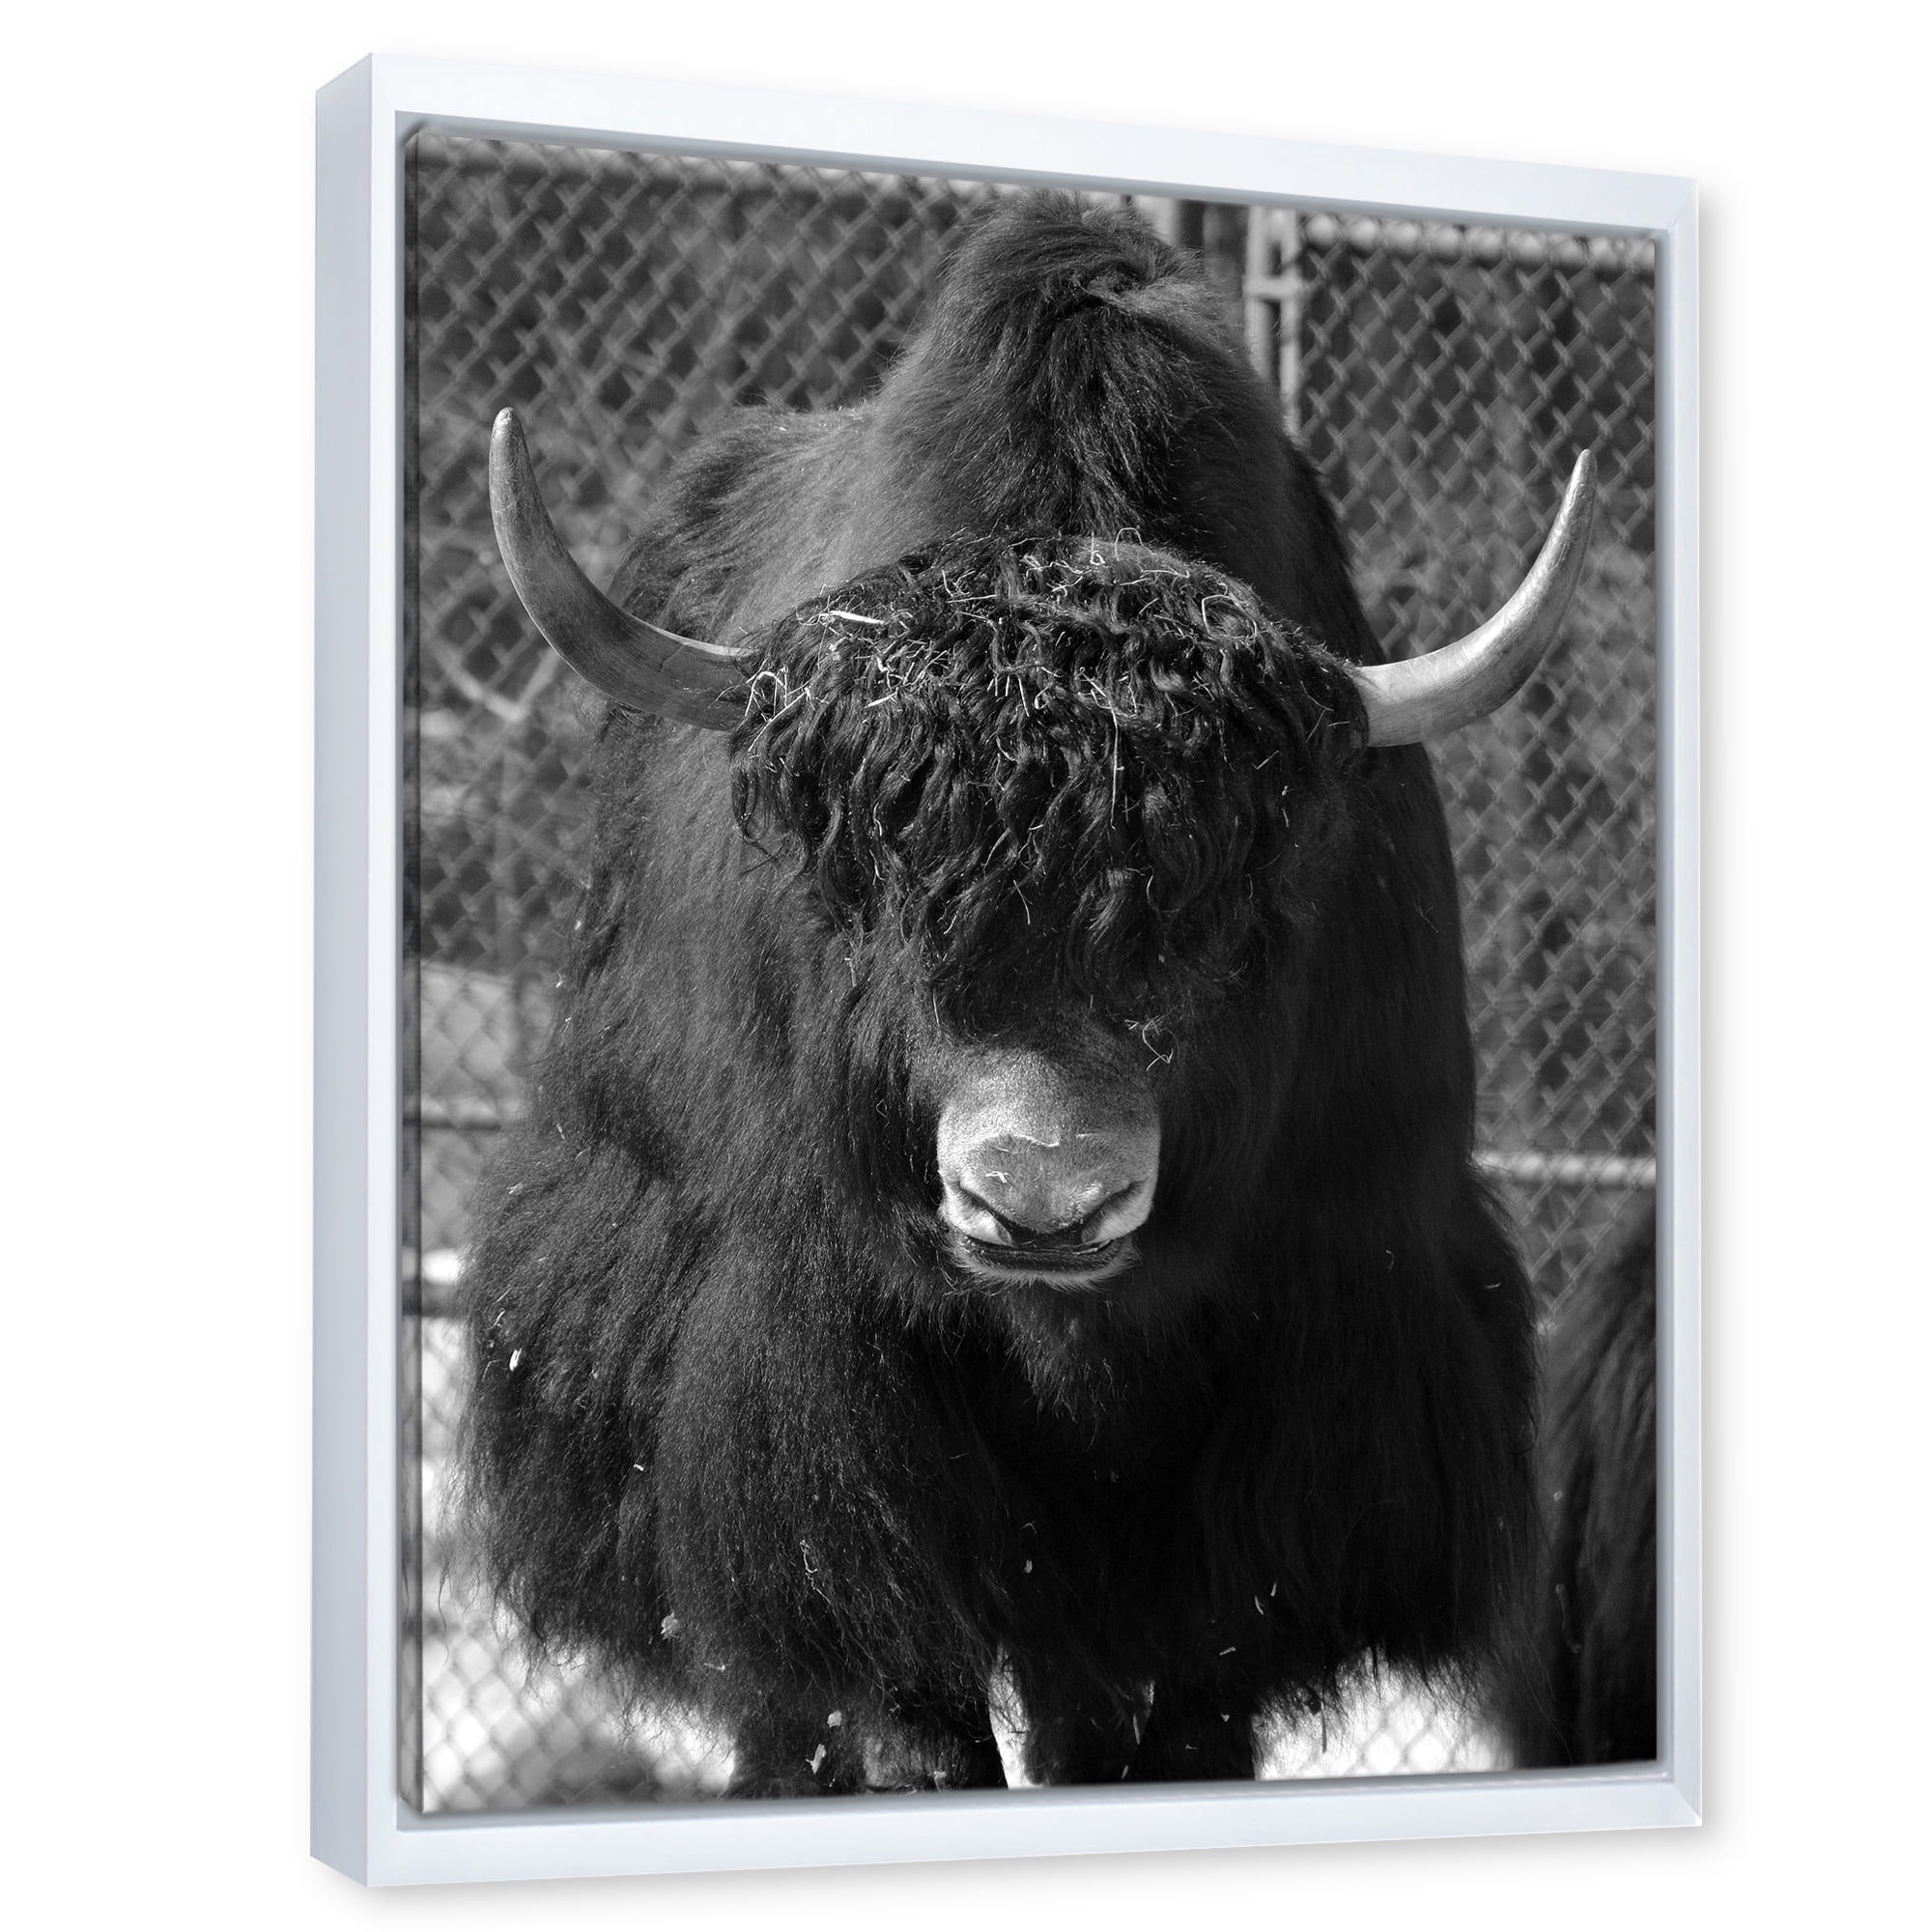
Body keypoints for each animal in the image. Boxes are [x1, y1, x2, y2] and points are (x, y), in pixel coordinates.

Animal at [460, 193, 1598, 1795]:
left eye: (1225, 915)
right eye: (876, 895)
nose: (1043, 1202)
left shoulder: (1300, 1392)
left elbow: (1170, 1705)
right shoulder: (816, 1399)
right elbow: (890, 1691)